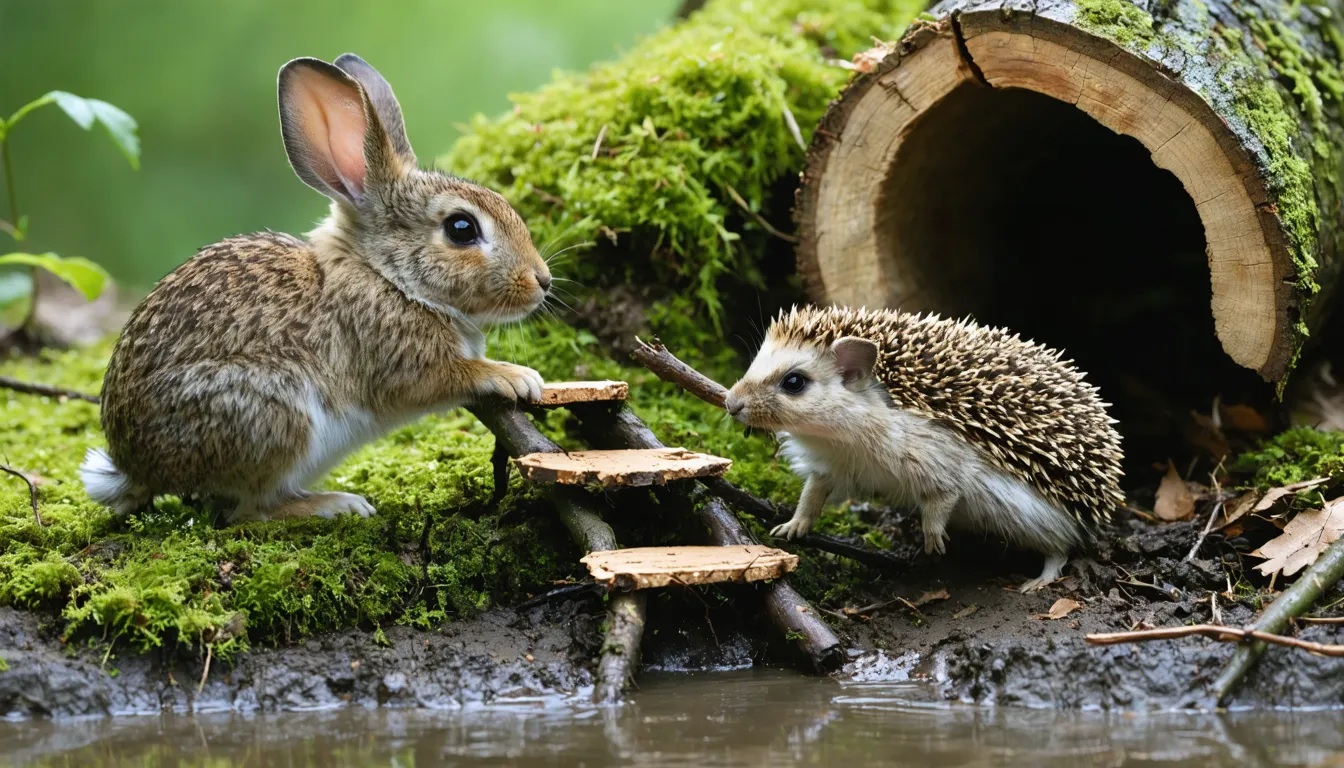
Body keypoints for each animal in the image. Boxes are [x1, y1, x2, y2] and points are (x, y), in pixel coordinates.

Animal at [80, 53, 551, 523]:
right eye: (461, 228)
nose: (542, 281)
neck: (387, 276)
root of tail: (139, 468)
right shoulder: (398, 357)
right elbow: (449, 376)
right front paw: (516, 377)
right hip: (273, 413)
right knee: (249, 510)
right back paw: (335, 504)